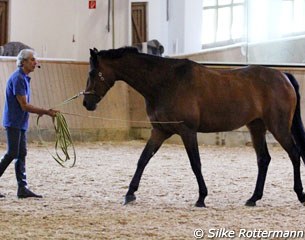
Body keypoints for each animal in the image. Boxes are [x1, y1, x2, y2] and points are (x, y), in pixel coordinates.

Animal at [82, 47, 304, 208]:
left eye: (92, 73)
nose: (87, 103)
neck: (165, 82)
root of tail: (284, 76)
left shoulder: (187, 131)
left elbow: (195, 163)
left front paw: (201, 198)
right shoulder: (160, 131)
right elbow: (143, 159)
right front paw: (129, 194)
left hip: (278, 127)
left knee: (294, 154)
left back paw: (300, 195)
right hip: (256, 126)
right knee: (263, 159)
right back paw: (253, 198)